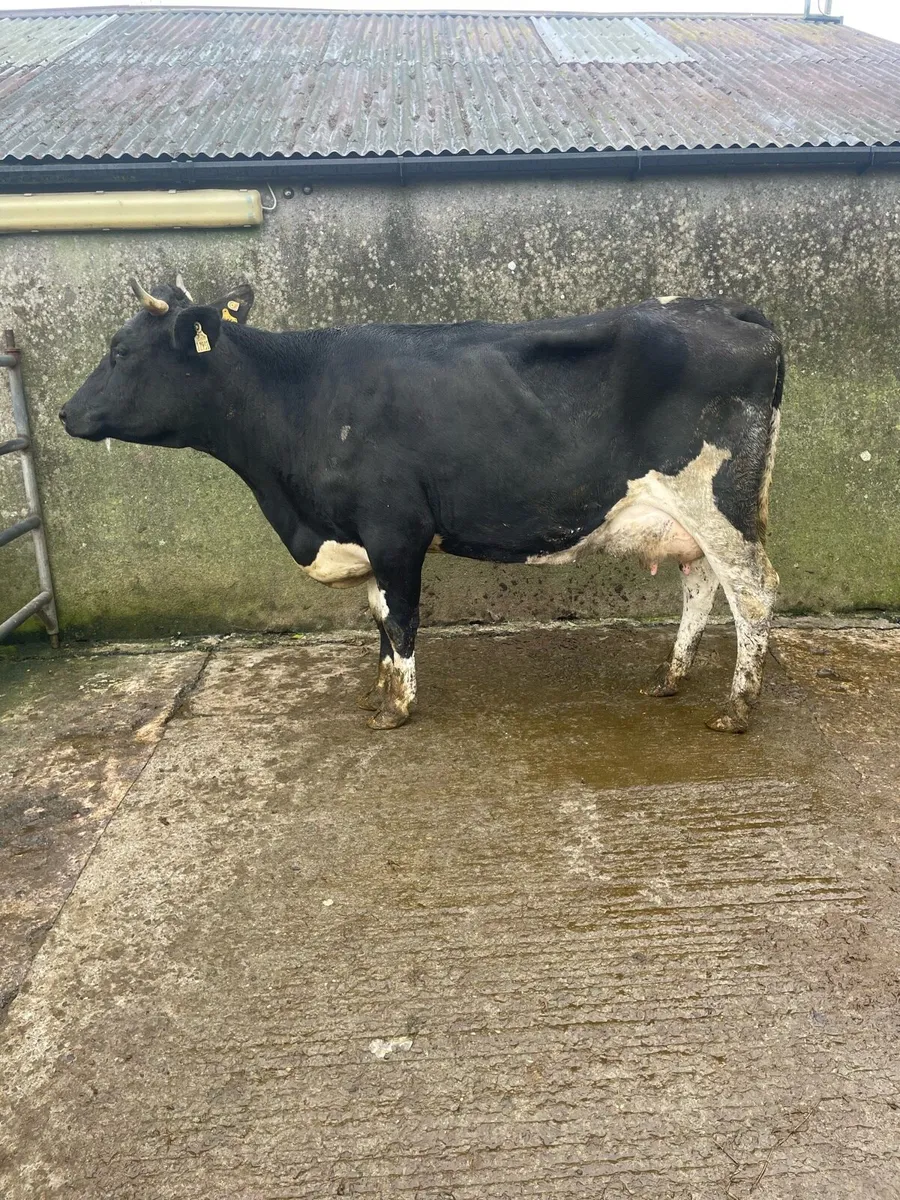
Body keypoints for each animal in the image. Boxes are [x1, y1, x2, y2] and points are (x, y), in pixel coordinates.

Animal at [60, 278, 783, 734]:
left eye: (120, 351)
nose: (65, 411)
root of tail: (731, 310)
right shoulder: (364, 535)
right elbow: (380, 615)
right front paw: (379, 690)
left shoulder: (394, 528)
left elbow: (401, 615)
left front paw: (398, 707)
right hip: (690, 515)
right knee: (701, 583)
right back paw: (671, 677)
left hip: (718, 500)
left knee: (751, 590)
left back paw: (738, 708)